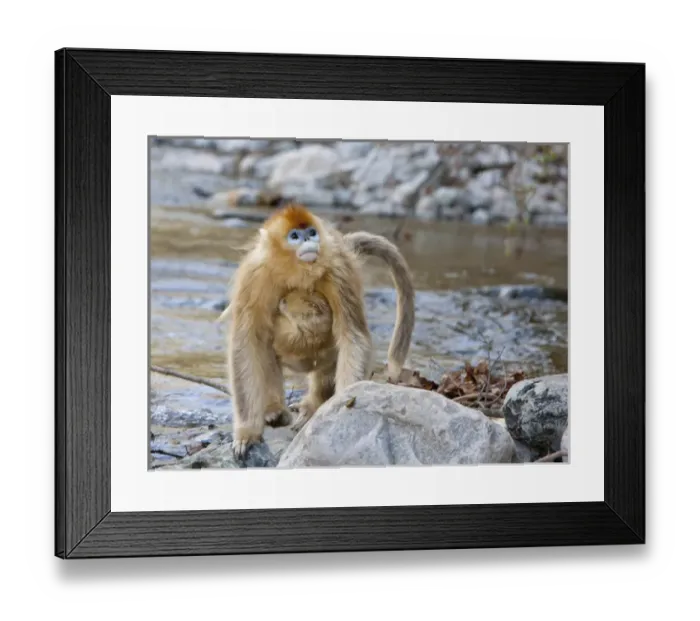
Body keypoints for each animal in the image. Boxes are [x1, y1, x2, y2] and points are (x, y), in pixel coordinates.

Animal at [223, 203, 415, 457]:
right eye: (295, 236)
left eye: (311, 232)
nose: (308, 240)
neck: (295, 272)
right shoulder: (254, 276)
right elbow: (246, 343)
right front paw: (247, 432)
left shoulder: (338, 271)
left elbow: (353, 336)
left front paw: (342, 406)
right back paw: (275, 410)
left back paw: (313, 406)